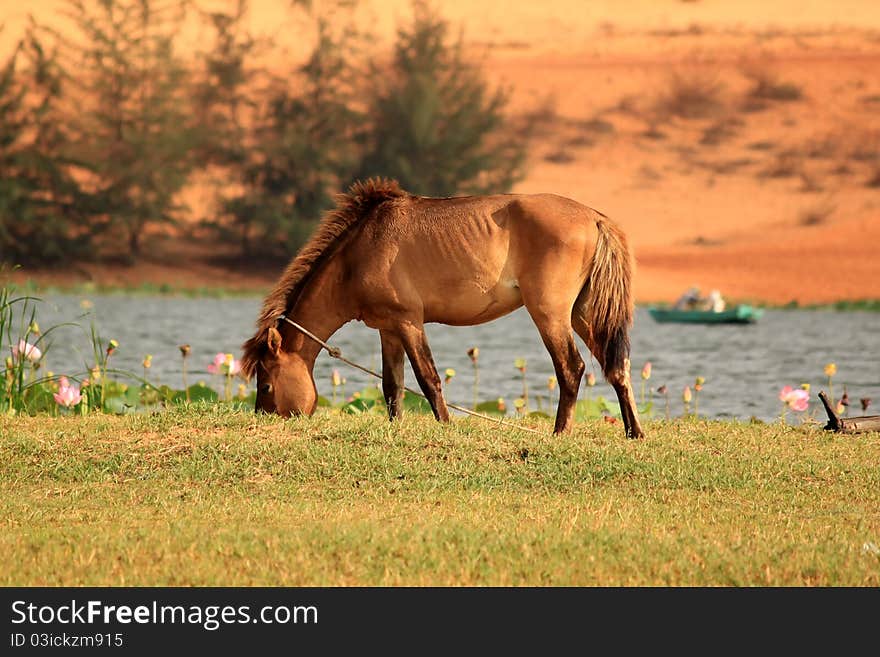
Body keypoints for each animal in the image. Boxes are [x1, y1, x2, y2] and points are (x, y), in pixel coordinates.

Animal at [241, 177, 648, 438]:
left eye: (266, 382)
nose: (261, 418)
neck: (358, 254)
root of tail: (594, 217)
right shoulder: (388, 328)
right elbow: (392, 385)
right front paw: (396, 428)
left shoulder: (409, 322)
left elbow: (428, 379)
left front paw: (447, 426)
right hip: (583, 313)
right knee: (618, 368)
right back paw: (634, 432)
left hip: (549, 313)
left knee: (571, 368)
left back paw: (560, 432)